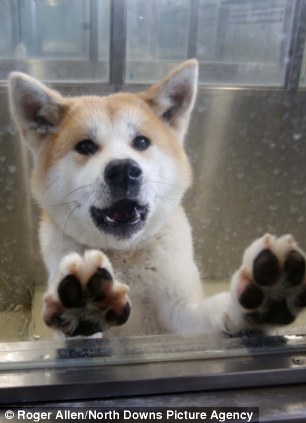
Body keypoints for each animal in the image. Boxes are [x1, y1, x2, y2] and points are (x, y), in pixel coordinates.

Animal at [7, 60, 306, 338]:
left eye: (141, 142)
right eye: (85, 146)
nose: (123, 170)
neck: (125, 257)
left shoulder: (181, 312)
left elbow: (211, 314)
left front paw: (264, 298)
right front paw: (84, 310)